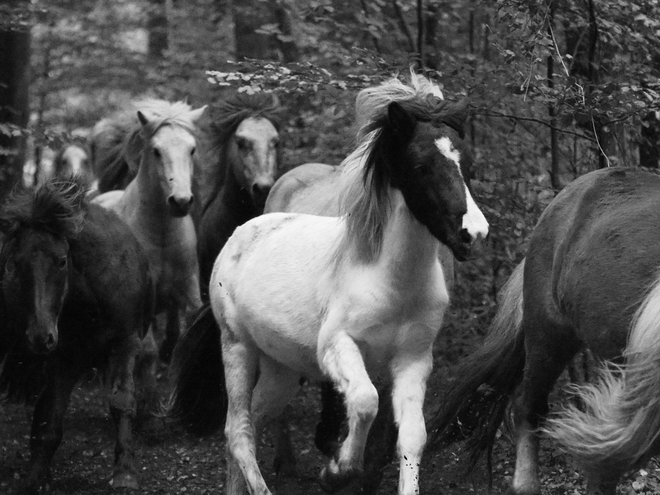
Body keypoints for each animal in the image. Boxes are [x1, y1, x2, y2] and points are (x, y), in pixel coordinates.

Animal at [0, 177, 153, 492]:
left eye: (61, 261)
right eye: (15, 263)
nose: (40, 336)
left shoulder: (125, 343)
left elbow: (122, 402)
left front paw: (125, 471)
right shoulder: (64, 357)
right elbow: (51, 416)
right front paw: (34, 477)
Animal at [93, 100, 205, 364]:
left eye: (192, 149)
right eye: (156, 151)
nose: (181, 201)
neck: (163, 234)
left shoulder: (189, 288)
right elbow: (147, 352)